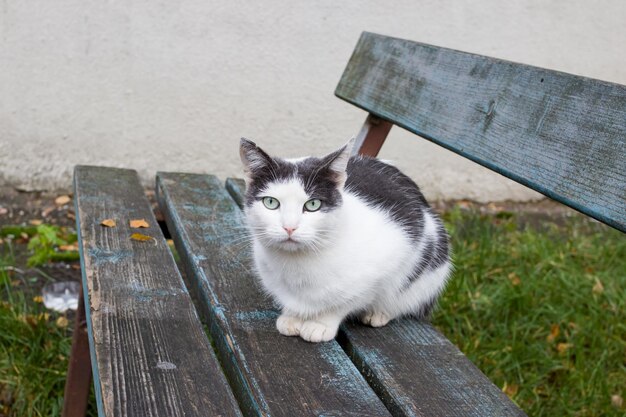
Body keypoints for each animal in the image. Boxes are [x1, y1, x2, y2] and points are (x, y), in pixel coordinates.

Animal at [238, 136, 448, 342]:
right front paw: (292, 316)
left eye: (313, 204)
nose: (290, 227)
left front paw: (320, 324)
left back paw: (378, 313)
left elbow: (343, 303)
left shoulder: (391, 257)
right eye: (271, 202)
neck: (297, 264)